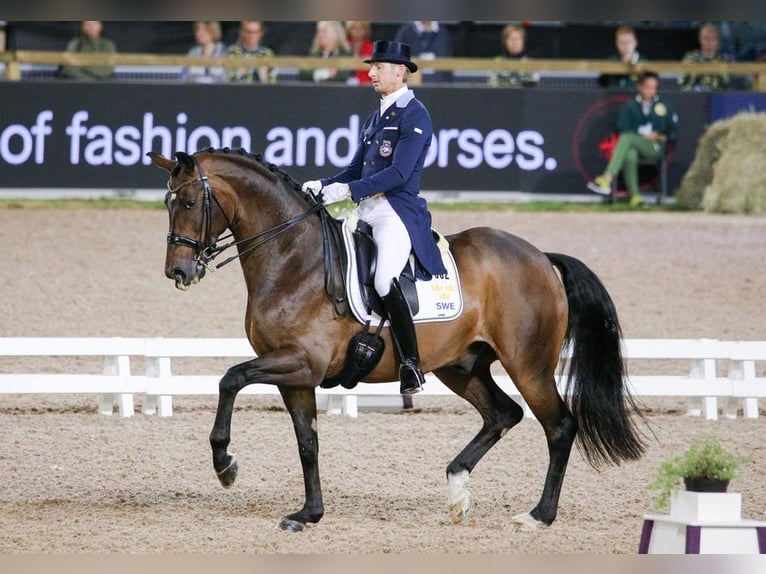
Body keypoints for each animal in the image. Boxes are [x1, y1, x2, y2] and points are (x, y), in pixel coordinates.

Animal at [148, 148, 648, 536]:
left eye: (189, 201)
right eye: (168, 202)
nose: (178, 271)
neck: (293, 259)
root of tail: (541, 258)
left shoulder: (300, 362)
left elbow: (230, 379)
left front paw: (225, 465)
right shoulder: (296, 375)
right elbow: (307, 443)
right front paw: (309, 514)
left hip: (529, 365)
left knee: (559, 426)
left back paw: (538, 516)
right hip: (461, 366)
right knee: (503, 414)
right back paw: (457, 489)